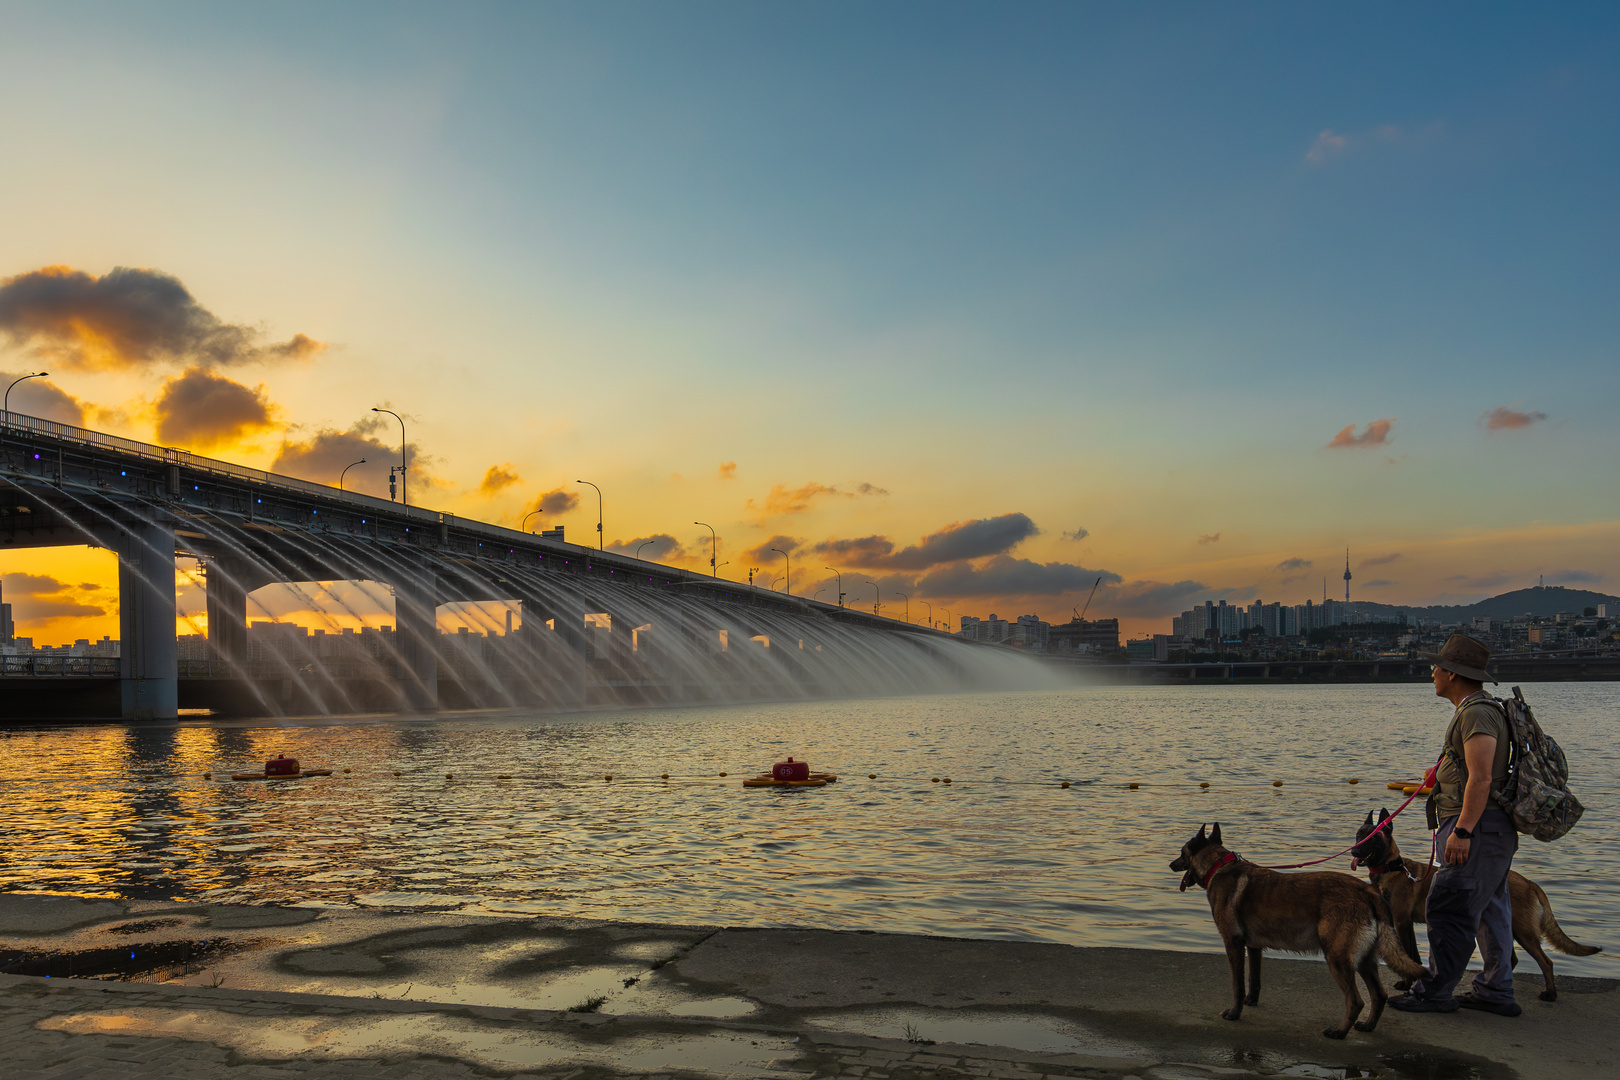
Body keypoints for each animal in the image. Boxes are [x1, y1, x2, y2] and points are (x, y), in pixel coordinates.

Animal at [1172, 822, 1425, 1042]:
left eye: (1182, 853)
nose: (1171, 865)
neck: (1218, 865)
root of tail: (1368, 891)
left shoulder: (1233, 944)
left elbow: (1238, 985)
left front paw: (1235, 1012)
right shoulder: (1253, 947)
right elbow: (1254, 979)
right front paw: (1251, 1000)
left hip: (1338, 959)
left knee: (1356, 1001)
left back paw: (1340, 1032)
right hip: (1364, 961)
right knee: (1379, 996)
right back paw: (1368, 1025)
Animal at [1347, 806, 1600, 1003]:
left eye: (1371, 838)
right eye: (1358, 834)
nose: (1354, 850)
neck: (1391, 868)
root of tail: (1529, 882)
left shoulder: (1401, 922)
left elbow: (1408, 953)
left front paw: (1406, 983)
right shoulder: (1401, 923)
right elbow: (1412, 956)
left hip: (1524, 932)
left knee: (1546, 962)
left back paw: (1550, 993)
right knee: (1510, 959)